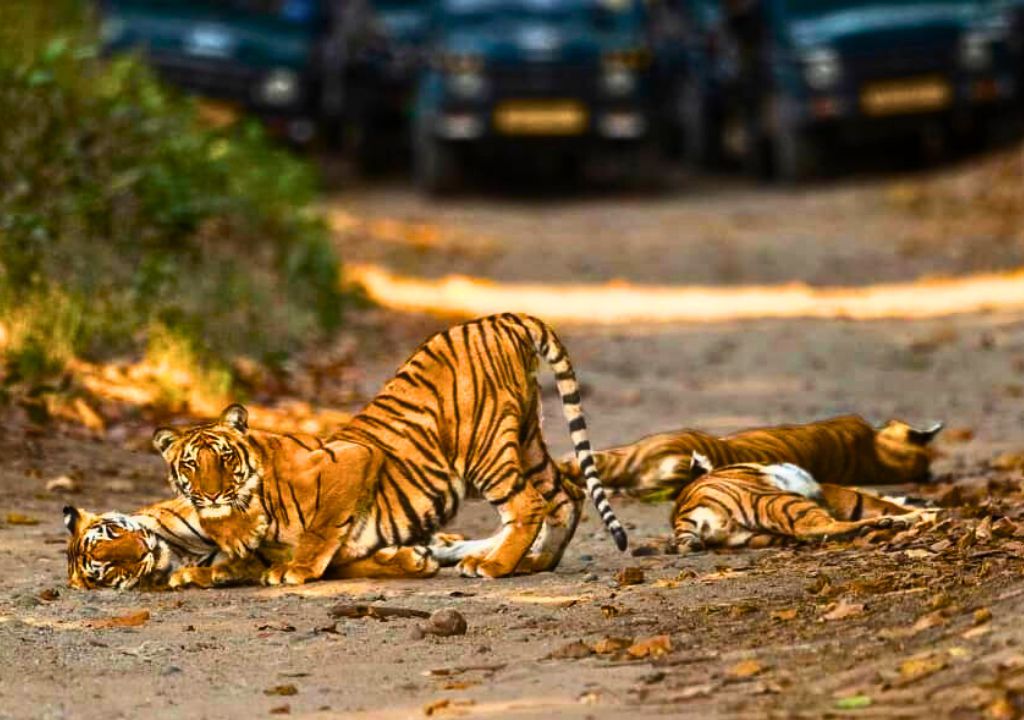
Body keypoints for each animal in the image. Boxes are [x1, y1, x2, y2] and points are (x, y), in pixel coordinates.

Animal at [151, 313, 626, 586]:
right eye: (190, 465)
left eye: (225, 458)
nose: (212, 494)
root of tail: (502, 319)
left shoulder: (352, 459)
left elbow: (322, 530)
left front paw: (295, 570)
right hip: (526, 440)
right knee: (566, 494)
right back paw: (534, 562)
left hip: (485, 450)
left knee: (528, 504)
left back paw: (494, 566)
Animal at [671, 453, 927, 553]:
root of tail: (681, 517)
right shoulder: (829, 491)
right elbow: (869, 500)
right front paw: (920, 511)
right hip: (773, 498)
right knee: (814, 527)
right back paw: (896, 521)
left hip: (756, 536)